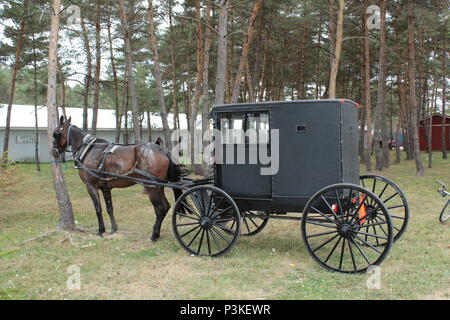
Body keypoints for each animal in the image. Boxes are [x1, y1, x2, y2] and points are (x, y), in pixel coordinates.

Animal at [51, 116, 185, 241]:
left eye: (56, 132)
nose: (54, 151)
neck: (89, 150)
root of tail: (162, 150)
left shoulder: (91, 185)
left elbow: (98, 208)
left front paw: (101, 230)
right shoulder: (105, 188)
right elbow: (109, 208)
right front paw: (113, 228)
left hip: (151, 187)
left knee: (159, 209)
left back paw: (154, 235)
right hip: (159, 186)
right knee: (166, 206)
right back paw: (157, 233)